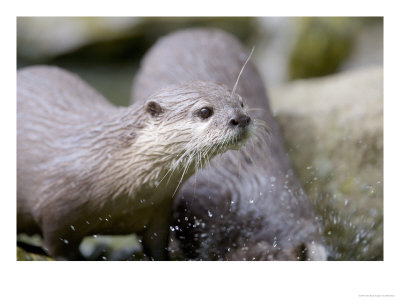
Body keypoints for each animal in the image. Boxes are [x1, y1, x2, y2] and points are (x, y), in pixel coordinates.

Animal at [18, 66, 253, 260]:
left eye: (241, 102)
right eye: (205, 111)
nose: (241, 119)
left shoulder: (159, 211)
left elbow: (156, 244)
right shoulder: (56, 214)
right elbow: (59, 248)